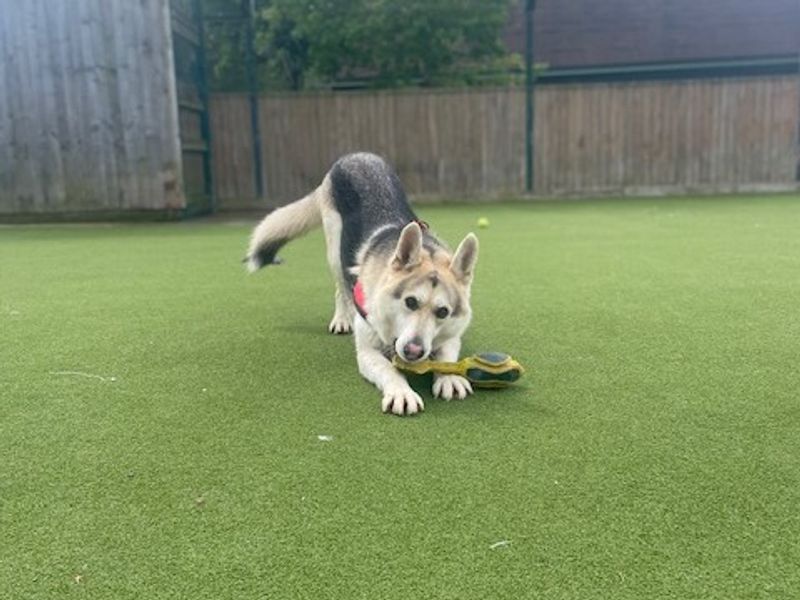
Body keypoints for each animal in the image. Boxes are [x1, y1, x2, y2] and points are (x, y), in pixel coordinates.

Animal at [244, 154, 478, 418]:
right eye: (410, 302)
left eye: (443, 312)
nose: (413, 351)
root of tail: (354, 157)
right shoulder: (367, 353)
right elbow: (389, 370)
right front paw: (401, 392)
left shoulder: (451, 337)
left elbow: (448, 355)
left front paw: (449, 377)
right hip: (335, 252)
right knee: (340, 289)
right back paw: (341, 319)